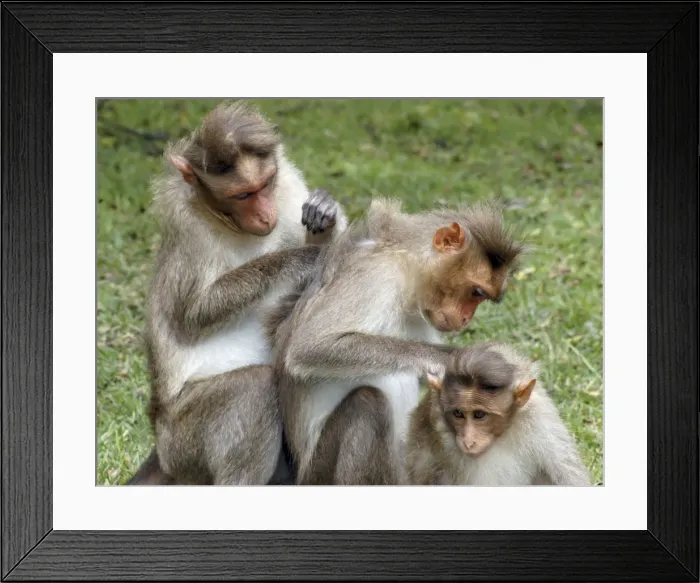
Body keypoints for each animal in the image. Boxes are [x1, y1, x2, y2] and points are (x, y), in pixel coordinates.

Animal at [125, 100, 347, 485]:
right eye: (243, 195)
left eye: (265, 184)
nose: (265, 215)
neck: (228, 222)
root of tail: (162, 451)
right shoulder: (188, 228)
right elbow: (193, 315)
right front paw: (300, 259)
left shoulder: (288, 187)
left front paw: (326, 212)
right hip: (185, 441)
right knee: (254, 387)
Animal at [267, 197, 524, 485]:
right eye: (476, 292)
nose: (466, 318)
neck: (406, 263)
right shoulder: (378, 276)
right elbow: (310, 346)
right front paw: (447, 356)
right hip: (318, 475)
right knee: (368, 402)